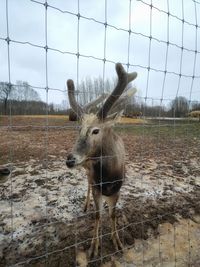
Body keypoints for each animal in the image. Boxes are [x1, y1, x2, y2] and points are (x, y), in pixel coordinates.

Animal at [65, 62, 138, 258]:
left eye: (95, 130)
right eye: (79, 129)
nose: (70, 159)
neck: (108, 177)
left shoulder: (117, 188)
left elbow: (112, 215)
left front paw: (118, 242)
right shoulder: (97, 186)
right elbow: (98, 215)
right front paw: (94, 247)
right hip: (88, 172)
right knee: (88, 186)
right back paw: (85, 205)